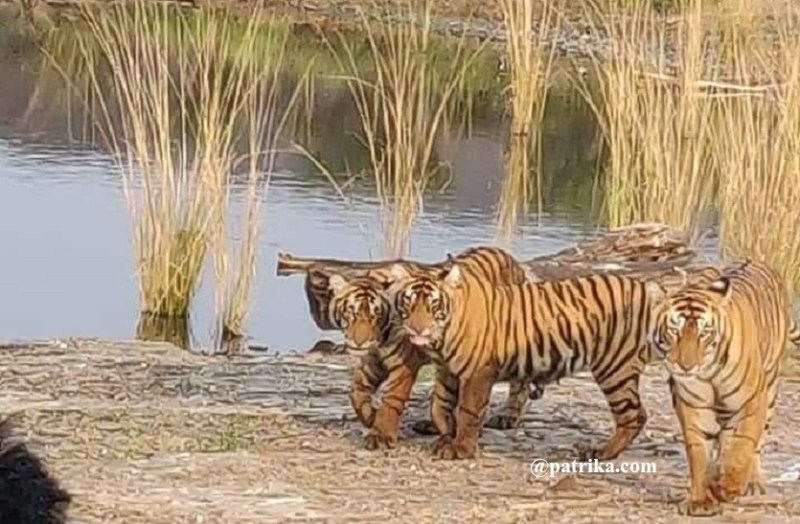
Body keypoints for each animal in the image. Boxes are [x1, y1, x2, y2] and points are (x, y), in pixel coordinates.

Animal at [326, 246, 543, 449]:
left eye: (376, 316)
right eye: (350, 313)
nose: (359, 342)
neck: (381, 340)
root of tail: (512, 260)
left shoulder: (404, 365)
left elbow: (391, 400)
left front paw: (381, 435)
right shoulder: (373, 360)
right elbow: (356, 393)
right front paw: (371, 417)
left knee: (519, 385)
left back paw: (507, 417)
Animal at [385, 260, 672, 461]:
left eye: (433, 305)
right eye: (409, 302)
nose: (417, 329)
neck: (441, 339)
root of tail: (650, 290)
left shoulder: (476, 373)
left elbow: (467, 411)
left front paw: (460, 449)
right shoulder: (447, 371)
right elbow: (439, 406)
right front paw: (447, 436)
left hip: (613, 368)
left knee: (634, 415)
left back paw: (600, 452)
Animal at [647, 260, 797, 516]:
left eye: (703, 333)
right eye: (674, 330)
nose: (686, 365)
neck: (709, 374)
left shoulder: (751, 403)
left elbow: (743, 446)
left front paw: (727, 488)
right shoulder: (693, 406)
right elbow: (698, 454)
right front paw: (700, 500)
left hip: (770, 389)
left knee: (754, 443)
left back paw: (752, 482)